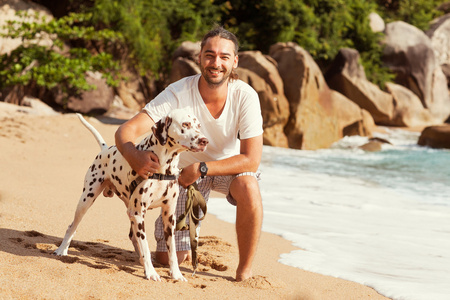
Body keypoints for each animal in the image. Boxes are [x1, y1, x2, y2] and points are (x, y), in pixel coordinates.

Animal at [53, 109, 208, 282]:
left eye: (198, 125)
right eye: (185, 124)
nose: (204, 141)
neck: (163, 167)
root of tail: (105, 149)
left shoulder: (169, 217)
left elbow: (172, 251)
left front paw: (176, 274)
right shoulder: (139, 213)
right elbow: (145, 246)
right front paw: (151, 272)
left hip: (129, 211)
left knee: (133, 237)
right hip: (87, 200)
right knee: (72, 226)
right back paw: (62, 250)